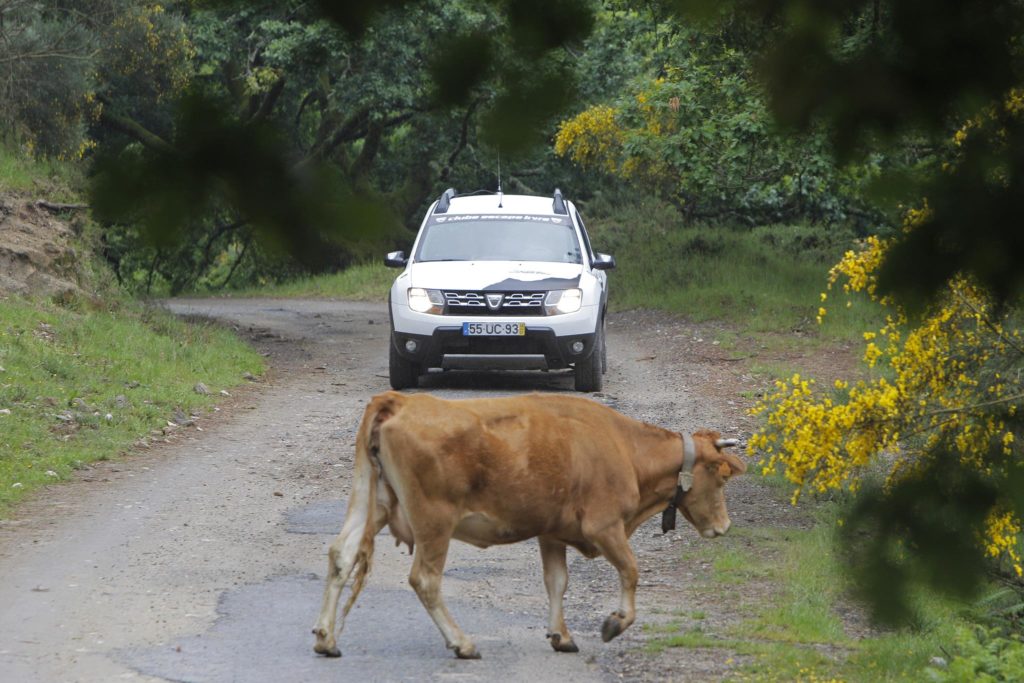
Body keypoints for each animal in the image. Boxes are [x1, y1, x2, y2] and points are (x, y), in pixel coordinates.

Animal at [309, 393, 745, 659]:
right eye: (722, 477)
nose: (724, 526)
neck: (624, 448)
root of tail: (400, 400)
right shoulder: (604, 526)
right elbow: (631, 571)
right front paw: (615, 623)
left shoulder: (551, 531)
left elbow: (557, 582)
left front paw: (561, 635)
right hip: (433, 519)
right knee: (425, 580)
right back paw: (462, 643)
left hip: (372, 502)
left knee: (341, 555)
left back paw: (326, 639)